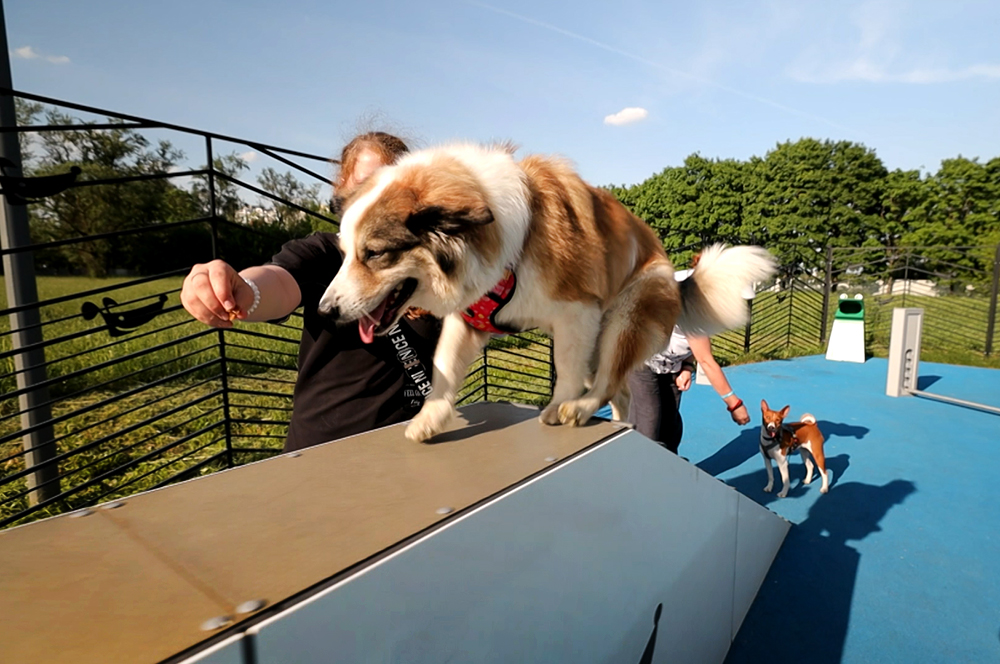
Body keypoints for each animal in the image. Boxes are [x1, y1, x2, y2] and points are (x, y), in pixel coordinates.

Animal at [316, 144, 776, 446]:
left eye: (374, 254)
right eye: (344, 252)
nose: (325, 310)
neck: (508, 241)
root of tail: (679, 279)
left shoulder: (577, 313)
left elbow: (565, 370)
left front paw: (557, 407)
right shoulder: (467, 322)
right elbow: (444, 368)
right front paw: (430, 419)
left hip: (623, 318)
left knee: (606, 382)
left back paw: (582, 409)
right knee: (621, 390)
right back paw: (621, 427)